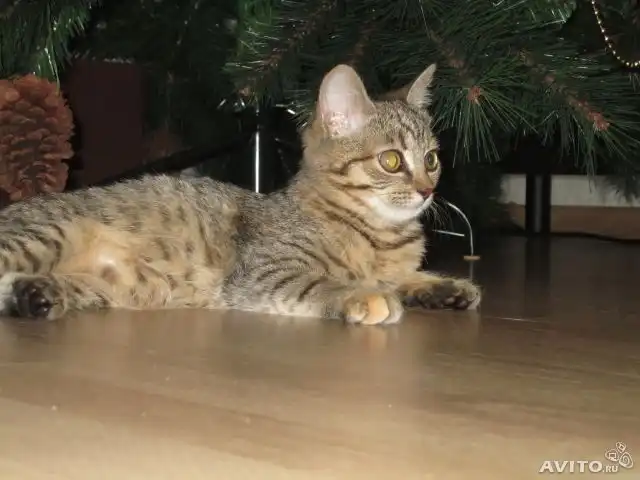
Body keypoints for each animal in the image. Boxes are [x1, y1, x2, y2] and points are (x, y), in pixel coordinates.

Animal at [0, 63, 481, 324]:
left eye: (432, 159)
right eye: (392, 161)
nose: (427, 190)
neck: (380, 235)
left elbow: (406, 276)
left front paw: (445, 287)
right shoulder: (266, 272)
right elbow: (329, 282)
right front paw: (361, 295)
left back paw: (33, 296)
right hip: (46, 236)